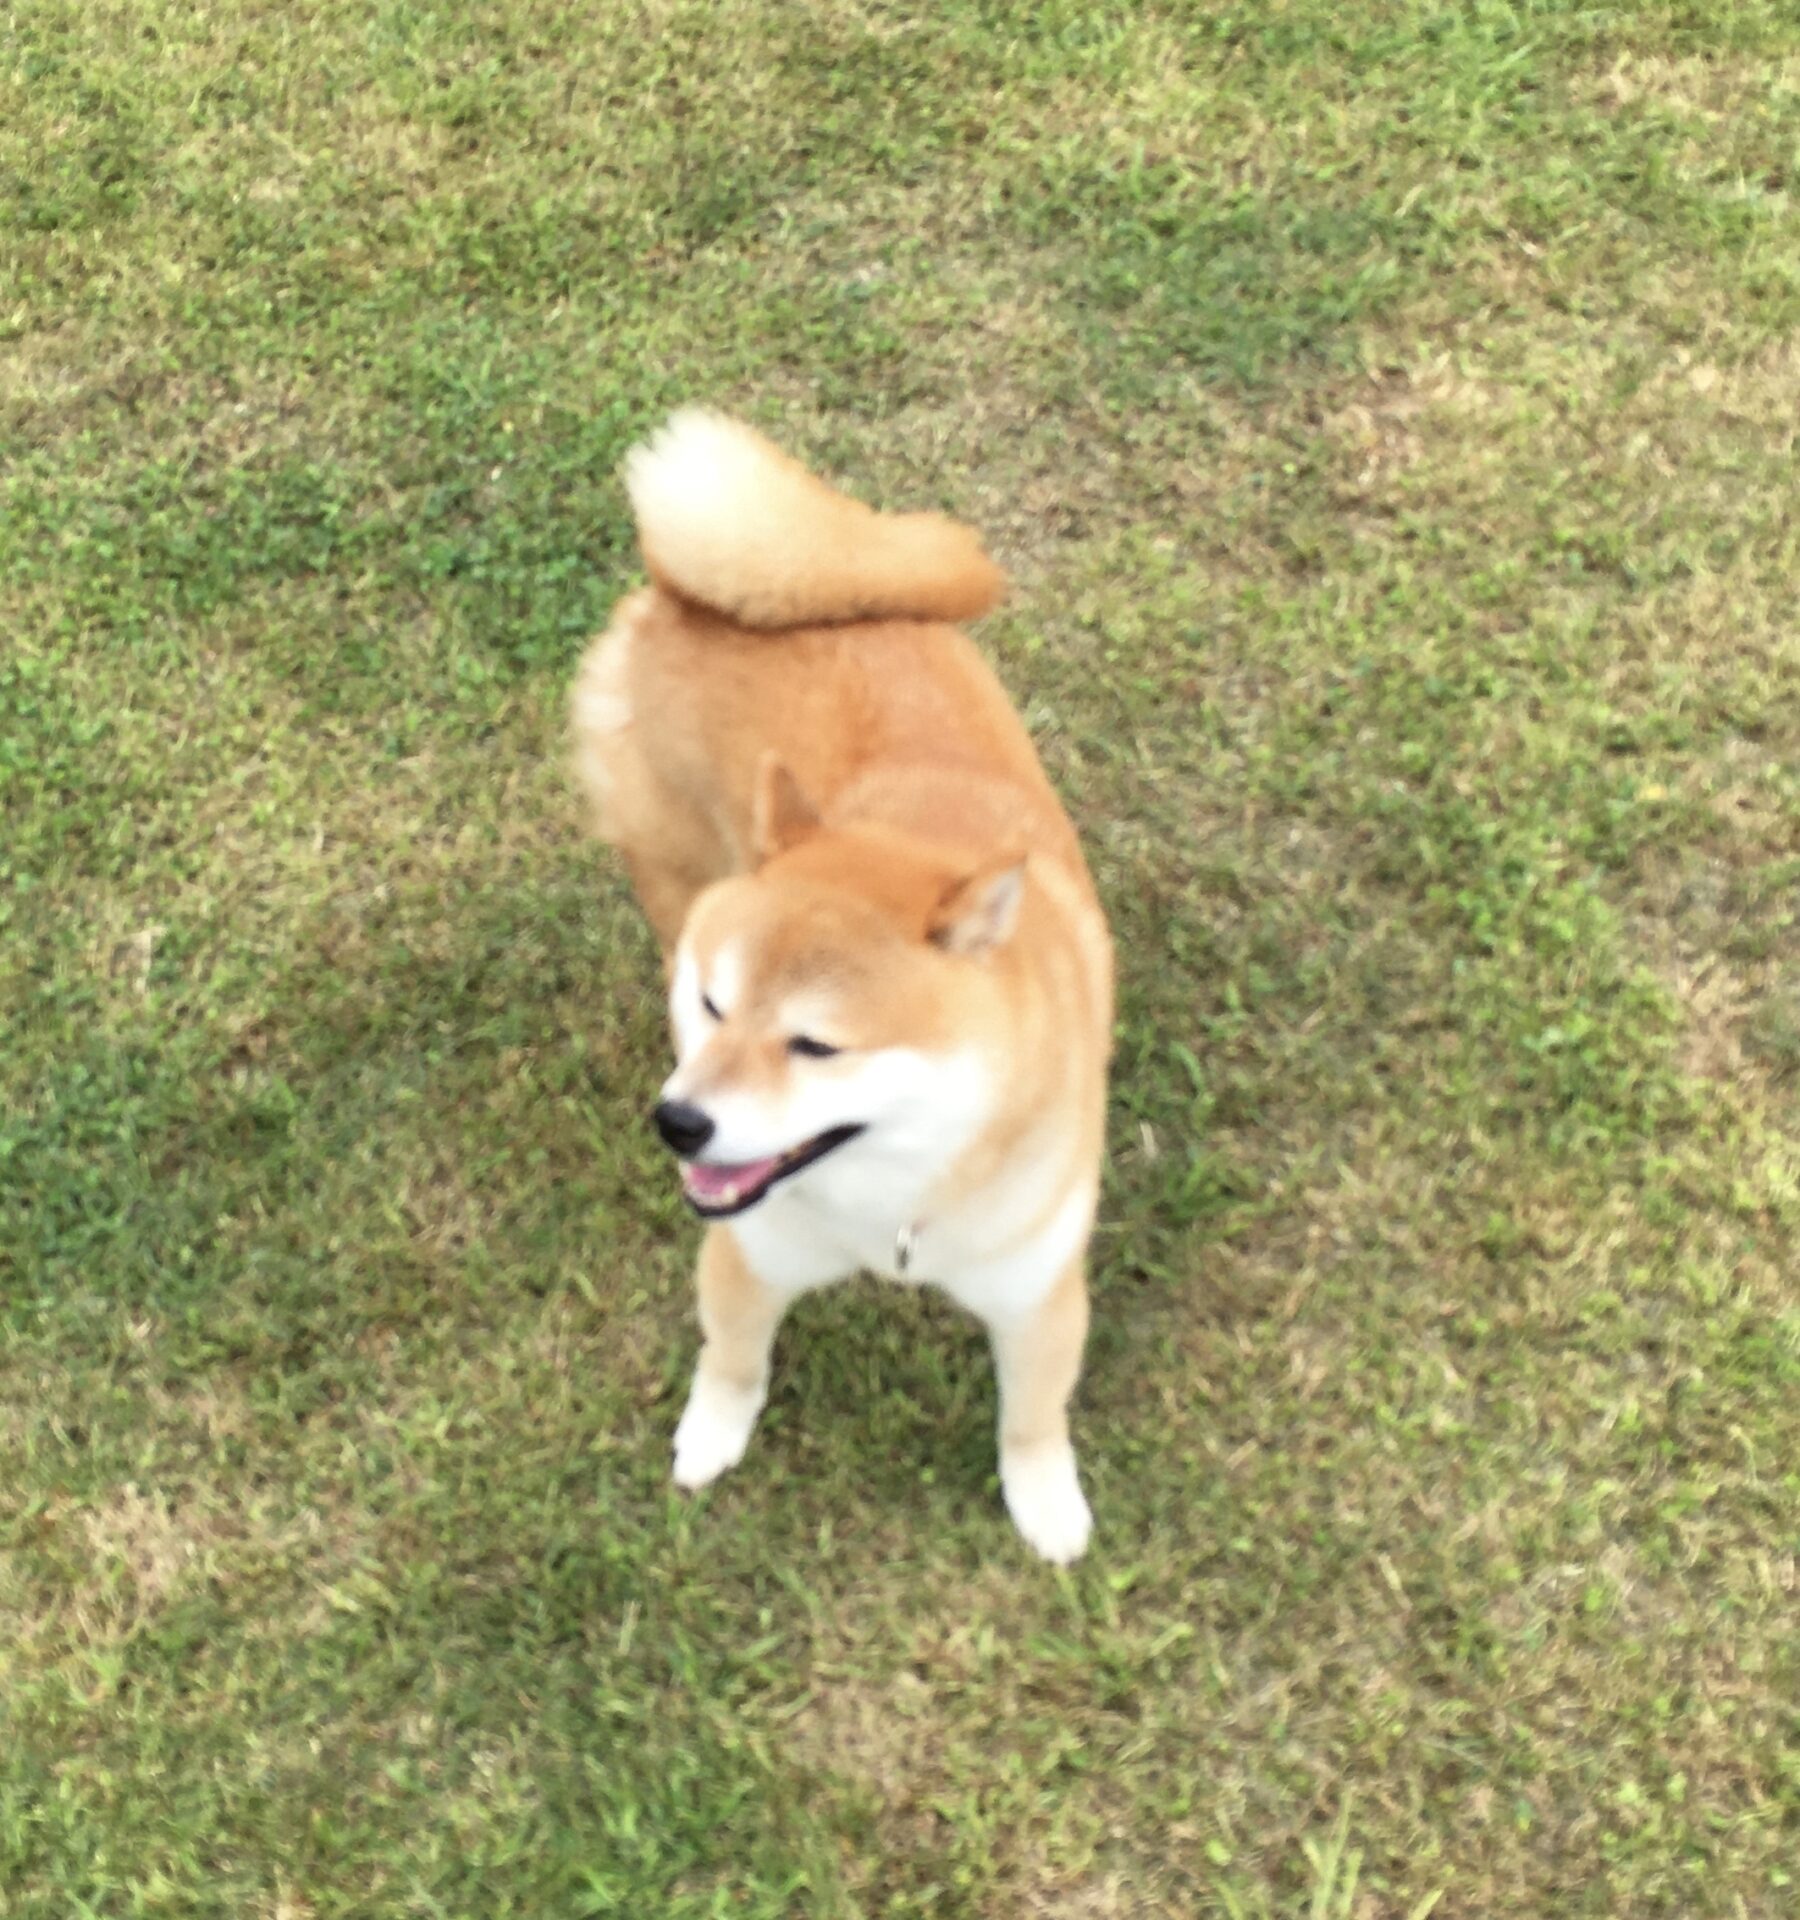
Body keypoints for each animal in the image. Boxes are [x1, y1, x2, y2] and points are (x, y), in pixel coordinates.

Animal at [570, 410, 1112, 1561]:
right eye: (715, 1005)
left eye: (815, 1045)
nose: (678, 1123)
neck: (891, 1206)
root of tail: (687, 589)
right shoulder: (746, 1253)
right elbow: (732, 1360)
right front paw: (710, 1438)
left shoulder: (1039, 1292)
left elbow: (1033, 1416)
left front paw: (1045, 1503)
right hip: (670, 860)